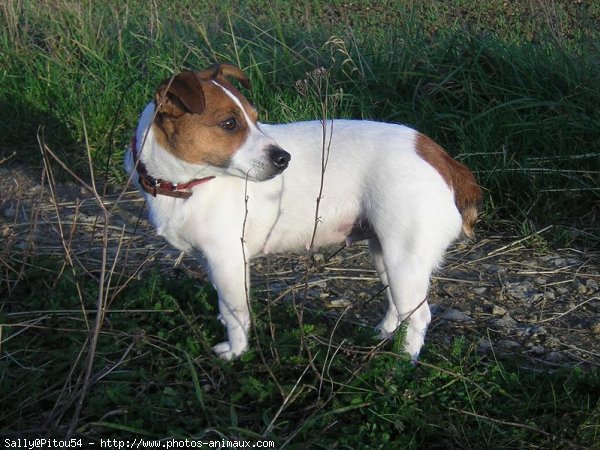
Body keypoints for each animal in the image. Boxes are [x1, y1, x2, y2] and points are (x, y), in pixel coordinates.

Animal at [126, 63, 482, 360]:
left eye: (255, 118)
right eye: (230, 123)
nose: (284, 158)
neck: (184, 184)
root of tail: (438, 155)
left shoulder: (227, 261)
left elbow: (235, 313)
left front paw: (237, 352)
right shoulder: (210, 260)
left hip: (404, 258)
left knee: (419, 316)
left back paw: (402, 363)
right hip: (387, 255)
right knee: (398, 307)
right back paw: (382, 337)